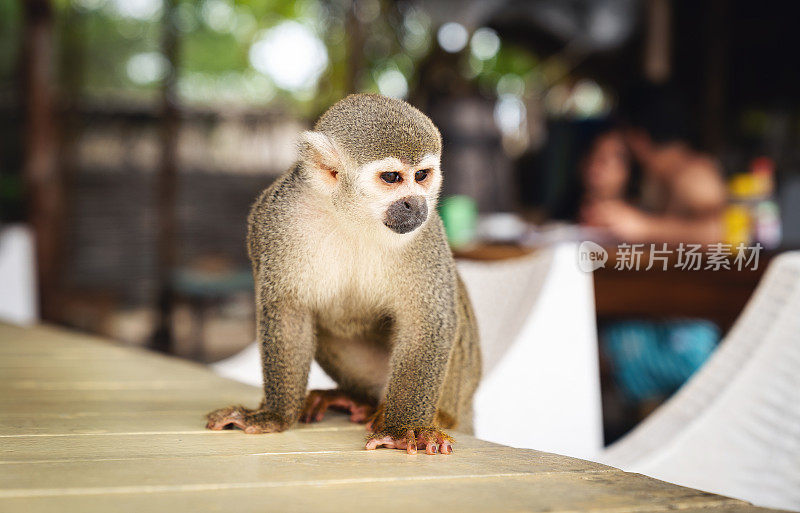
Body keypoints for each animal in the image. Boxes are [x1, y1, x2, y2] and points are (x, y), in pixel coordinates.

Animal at [208, 94, 482, 454]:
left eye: (422, 175)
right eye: (392, 177)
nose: (415, 204)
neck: (352, 216)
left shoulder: (428, 232)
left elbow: (426, 321)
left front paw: (404, 428)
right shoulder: (274, 216)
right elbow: (288, 312)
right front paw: (275, 415)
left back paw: (433, 416)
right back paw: (357, 400)